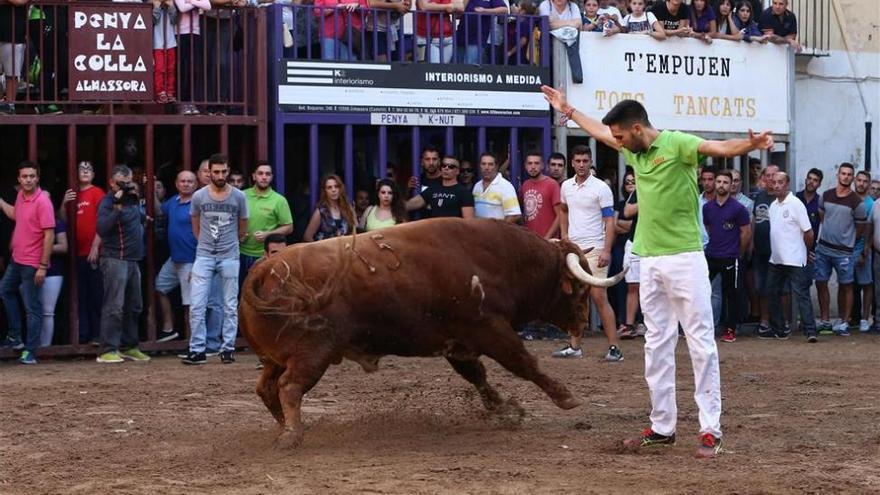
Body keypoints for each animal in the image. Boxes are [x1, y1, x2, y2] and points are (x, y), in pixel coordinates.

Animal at [241, 219, 624, 448]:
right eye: (579, 288)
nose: (580, 323)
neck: (498, 258)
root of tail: (264, 269)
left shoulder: (457, 343)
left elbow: (478, 376)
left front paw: (503, 408)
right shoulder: (489, 329)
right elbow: (524, 363)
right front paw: (564, 397)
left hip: (277, 357)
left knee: (266, 388)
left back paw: (283, 427)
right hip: (313, 353)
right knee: (290, 387)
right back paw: (293, 434)